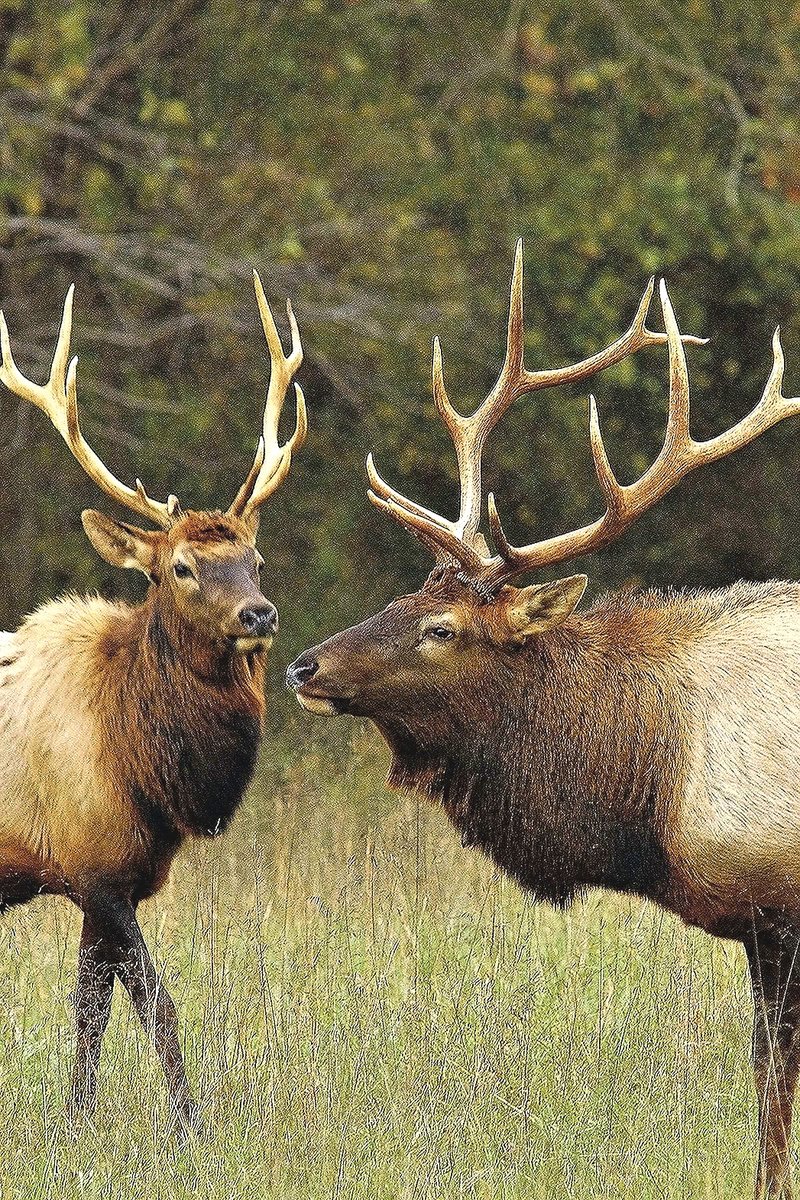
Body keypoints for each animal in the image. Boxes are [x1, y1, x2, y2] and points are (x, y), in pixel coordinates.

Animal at [0, 267, 307, 1128]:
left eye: (257, 560)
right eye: (180, 567)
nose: (259, 615)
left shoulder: (105, 876)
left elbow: (88, 1009)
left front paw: (76, 1120)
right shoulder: (97, 870)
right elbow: (156, 1005)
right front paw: (189, 1125)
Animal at [289, 238, 800, 1195]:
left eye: (442, 629)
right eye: (400, 597)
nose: (304, 664)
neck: (651, 785)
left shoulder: (778, 907)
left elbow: (772, 1078)